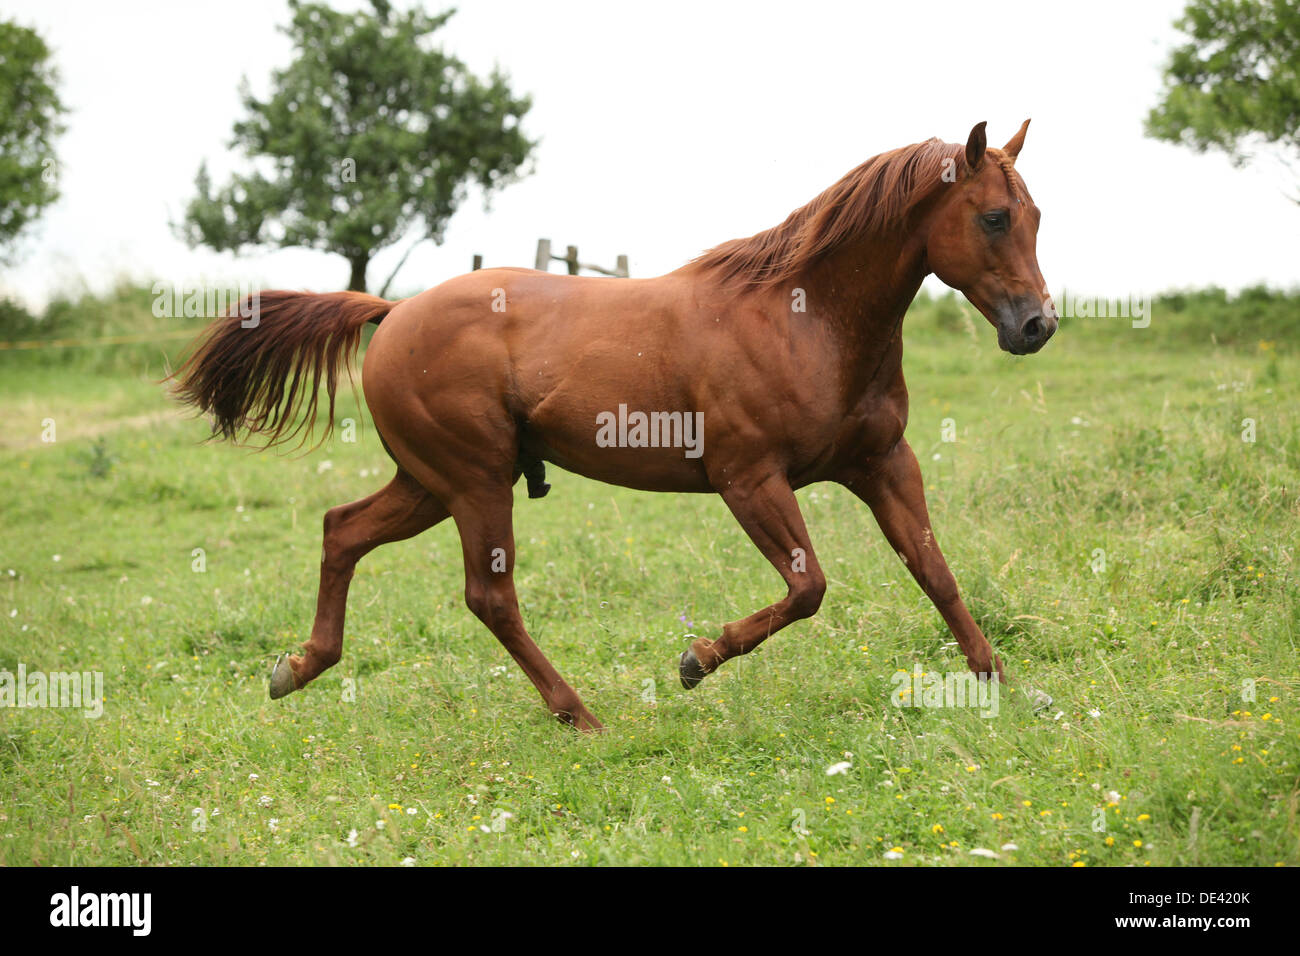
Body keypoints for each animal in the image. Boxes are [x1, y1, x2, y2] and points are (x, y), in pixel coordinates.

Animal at [172, 120, 1054, 732]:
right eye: (994, 218)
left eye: (1036, 214)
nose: (1037, 326)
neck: (805, 320)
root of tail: (391, 312)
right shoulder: (749, 480)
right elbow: (808, 588)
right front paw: (697, 659)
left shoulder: (883, 463)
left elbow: (934, 571)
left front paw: (1006, 686)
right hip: (474, 482)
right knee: (489, 597)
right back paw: (580, 714)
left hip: (430, 483)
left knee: (342, 530)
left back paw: (298, 667)